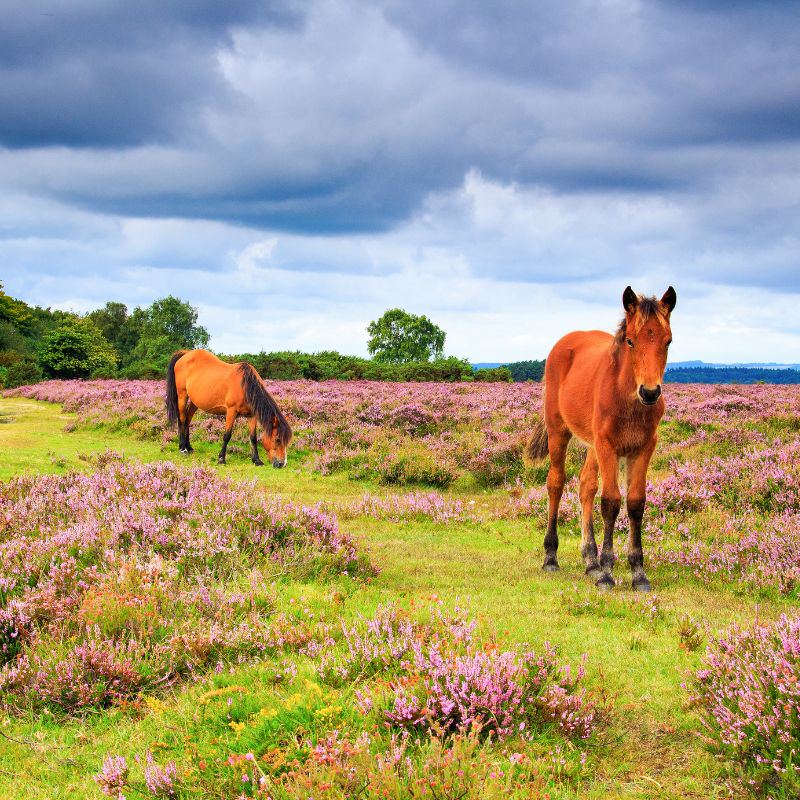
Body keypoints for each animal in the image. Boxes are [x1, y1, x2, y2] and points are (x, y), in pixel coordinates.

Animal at [526, 286, 676, 591]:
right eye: (630, 341)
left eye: (668, 341)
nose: (650, 392)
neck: (626, 399)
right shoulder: (608, 446)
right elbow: (610, 502)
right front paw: (608, 572)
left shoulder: (643, 448)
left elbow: (635, 503)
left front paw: (637, 573)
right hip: (559, 432)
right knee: (556, 483)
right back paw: (551, 557)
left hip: (593, 445)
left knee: (585, 485)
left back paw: (590, 560)